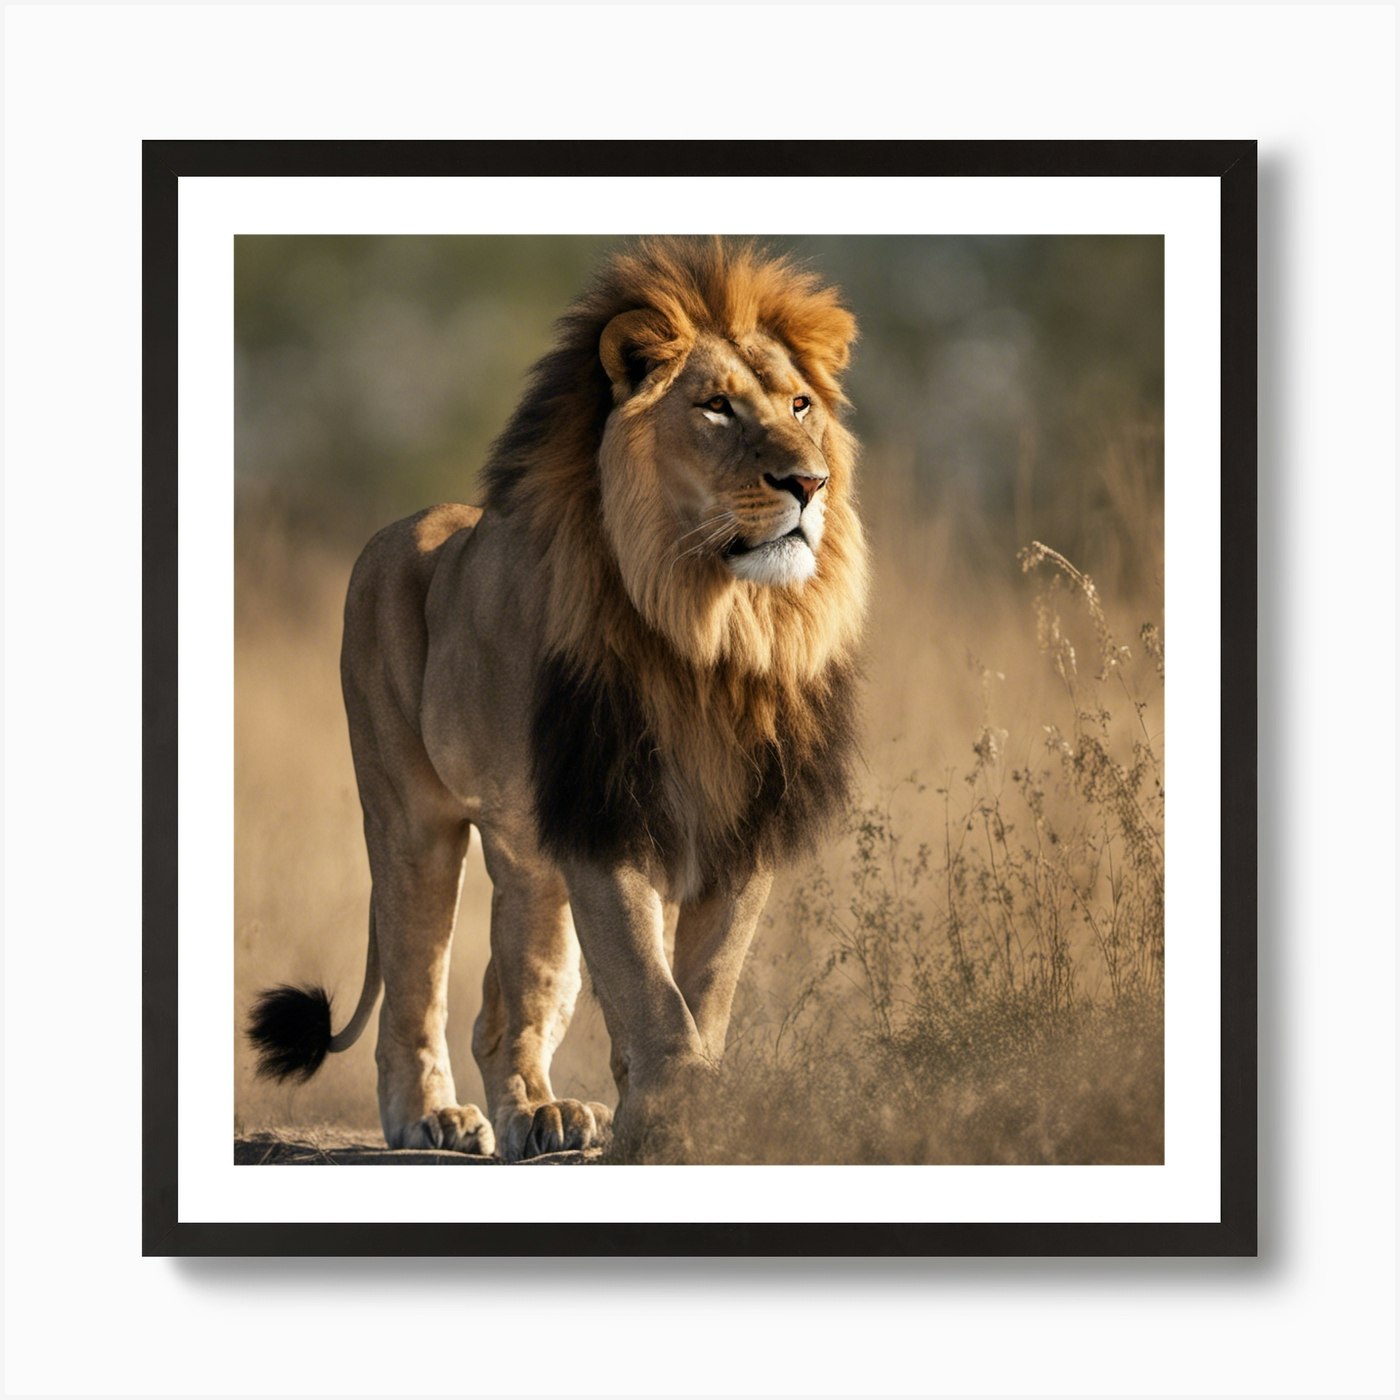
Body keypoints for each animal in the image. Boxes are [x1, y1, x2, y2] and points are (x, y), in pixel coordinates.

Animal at [248, 237, 868, 1160]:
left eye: (800, 405)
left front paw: (688, 1115)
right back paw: (431, 1115)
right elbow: (649, 989)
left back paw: (543, 1112)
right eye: (716, 407)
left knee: (510, 999)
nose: (810, 482)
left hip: (529, 858)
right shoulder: (607, 810)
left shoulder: (741, 822)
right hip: (413, 821)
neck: (714, 629)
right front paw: (674, 1118)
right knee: (415, 979)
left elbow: (706, 986)